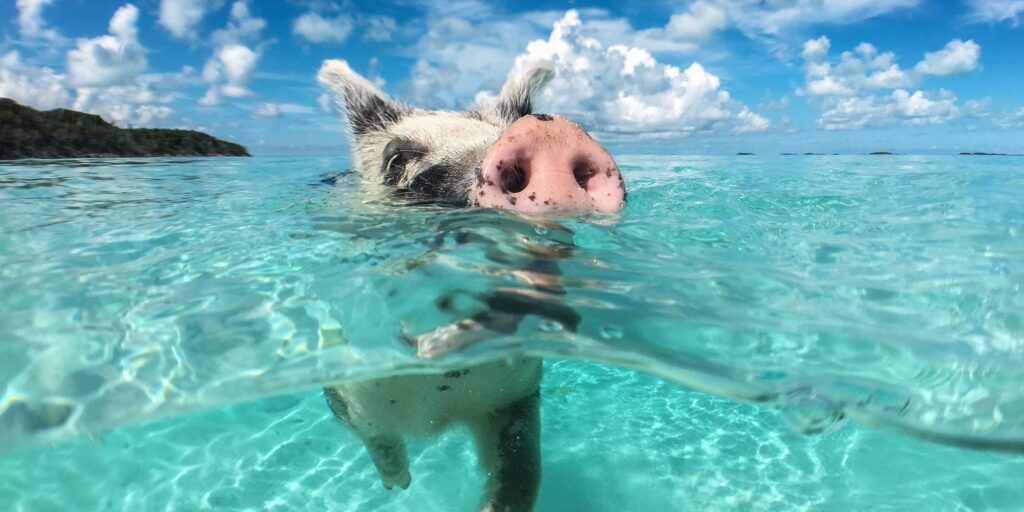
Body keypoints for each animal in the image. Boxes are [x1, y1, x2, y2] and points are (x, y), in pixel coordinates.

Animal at [316, 58, 626, 512]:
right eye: (395, 160)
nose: (548, 132)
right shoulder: (342, 384)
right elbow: (377, 438)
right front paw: (399, 484)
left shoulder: (517, 396)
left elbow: (521, 472)